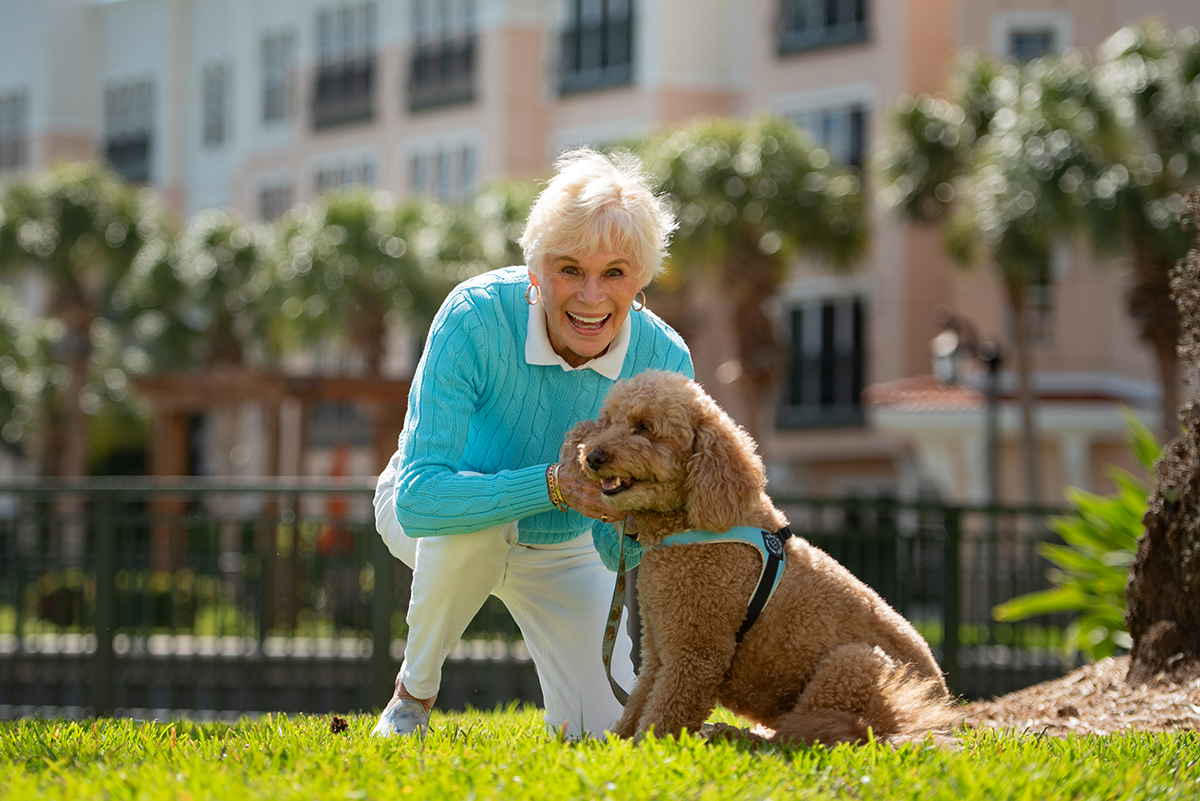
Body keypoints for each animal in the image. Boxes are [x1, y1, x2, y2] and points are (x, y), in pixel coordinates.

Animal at [561, 369, 955, 743]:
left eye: (644, 427)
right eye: (607, 421)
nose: (592, 456)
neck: (693, 524)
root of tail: (941, 710)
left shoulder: (696, 652)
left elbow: (663, 713)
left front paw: (649, 750)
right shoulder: (659, 648)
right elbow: (638, 703)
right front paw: (617, 744)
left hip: (852, 664)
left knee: (807, 734)